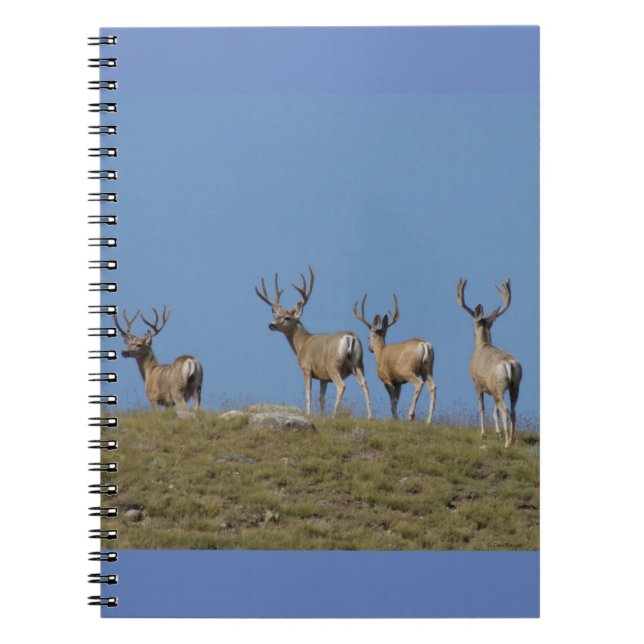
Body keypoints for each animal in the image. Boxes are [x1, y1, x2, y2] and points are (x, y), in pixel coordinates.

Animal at [254, 266, 373, 419]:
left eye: (287, 317)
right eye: (277, 315)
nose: (271, 324)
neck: (302, 344)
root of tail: (349, 337)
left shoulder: (306, 367)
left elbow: (308, 395)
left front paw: (309, 414)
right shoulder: (323, 376)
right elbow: (321, 397)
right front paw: (321, 416)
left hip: (333, 364)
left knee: (341, 386)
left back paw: (334, 415)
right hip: (358, 363)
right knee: (364, 383)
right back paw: (370, 416)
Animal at [353, 293, 437, 424]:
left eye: (368, 337)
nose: (370, 348)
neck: (380, 353)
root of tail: (424, 344)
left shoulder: (386, 378)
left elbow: (392, 401)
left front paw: (395, 418)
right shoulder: (398, 382)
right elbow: (396, 400)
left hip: (407, 370)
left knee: (419, 384)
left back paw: (411, 415)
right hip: (427, 369)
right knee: (433, 386)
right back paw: (429, 421)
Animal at [456, 278, 522, 448]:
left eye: (472, 323)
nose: (472, 329)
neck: (482, 345)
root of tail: (508, 363)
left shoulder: (477, 383)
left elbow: (482, 407)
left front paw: (484, 434)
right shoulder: (491, 389)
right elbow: (494, 411)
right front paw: (497, 434)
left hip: (499, 385)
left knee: (505, 409)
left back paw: (507, 443)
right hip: (515, 385)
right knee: (512, 410)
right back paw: (512, 439)